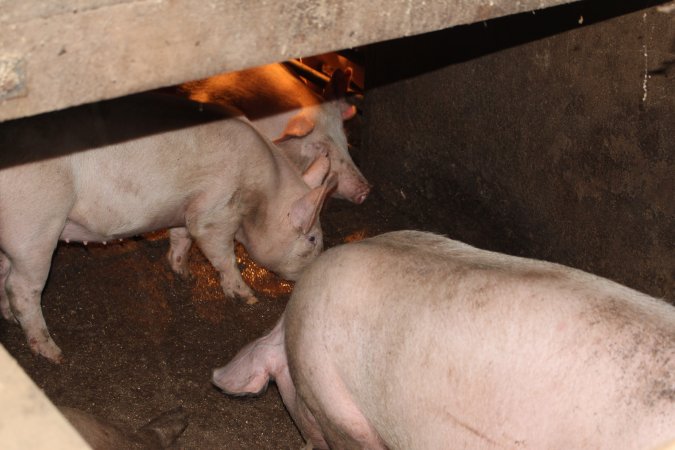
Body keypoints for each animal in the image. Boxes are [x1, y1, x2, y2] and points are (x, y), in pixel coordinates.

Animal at [0, 93, 336, 364]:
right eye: (312, 238)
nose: (313, 273)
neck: (261, 195)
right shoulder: (215, 209)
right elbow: (220, 251)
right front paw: (248, 298)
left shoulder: (185, 207)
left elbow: (181, 237)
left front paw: (184, 275)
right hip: (35, 225)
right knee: (22, 288)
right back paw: (54, 354)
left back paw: (8, 318)